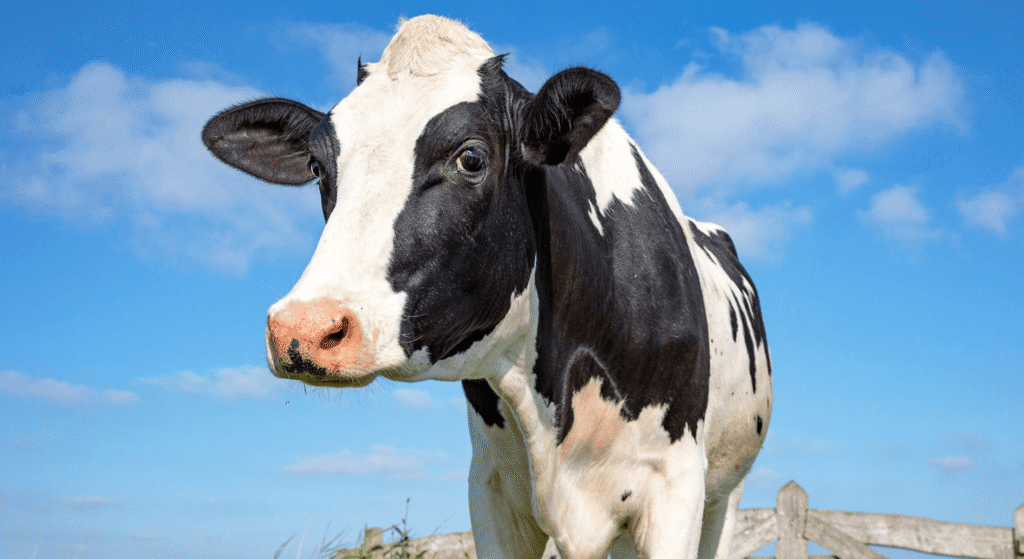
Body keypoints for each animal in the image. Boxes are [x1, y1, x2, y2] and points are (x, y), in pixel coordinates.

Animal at [202, 15, 772, 559]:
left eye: (471, 157)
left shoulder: (676, 486)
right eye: (319, 166)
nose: (303, 327)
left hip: (725, 493)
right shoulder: (491, 488)